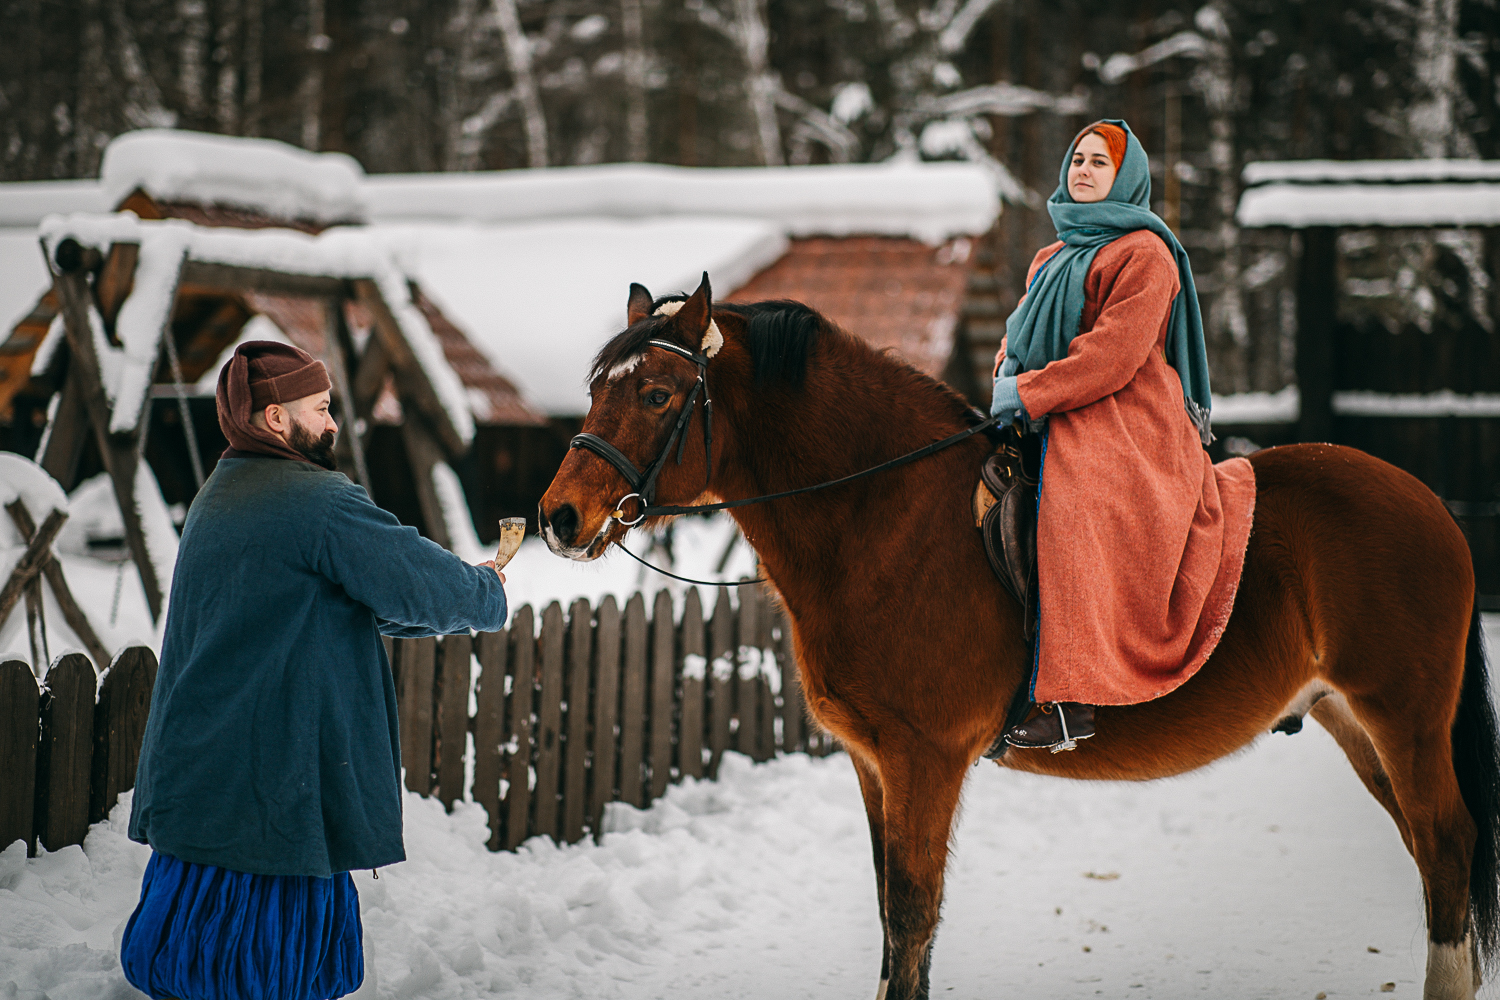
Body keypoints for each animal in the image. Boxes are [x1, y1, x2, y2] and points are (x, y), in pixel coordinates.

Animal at [534, 275, 1494, 1000]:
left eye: (657, 393)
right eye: (598, 389)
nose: (558, 517)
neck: (885, 520)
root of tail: (1428, 506)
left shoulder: (924, 761)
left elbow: (912, 920)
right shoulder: (874, 764)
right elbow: (893, 923)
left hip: (1402, 717)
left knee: (1447, 848)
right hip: (1354, 720)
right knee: (1433, 851)